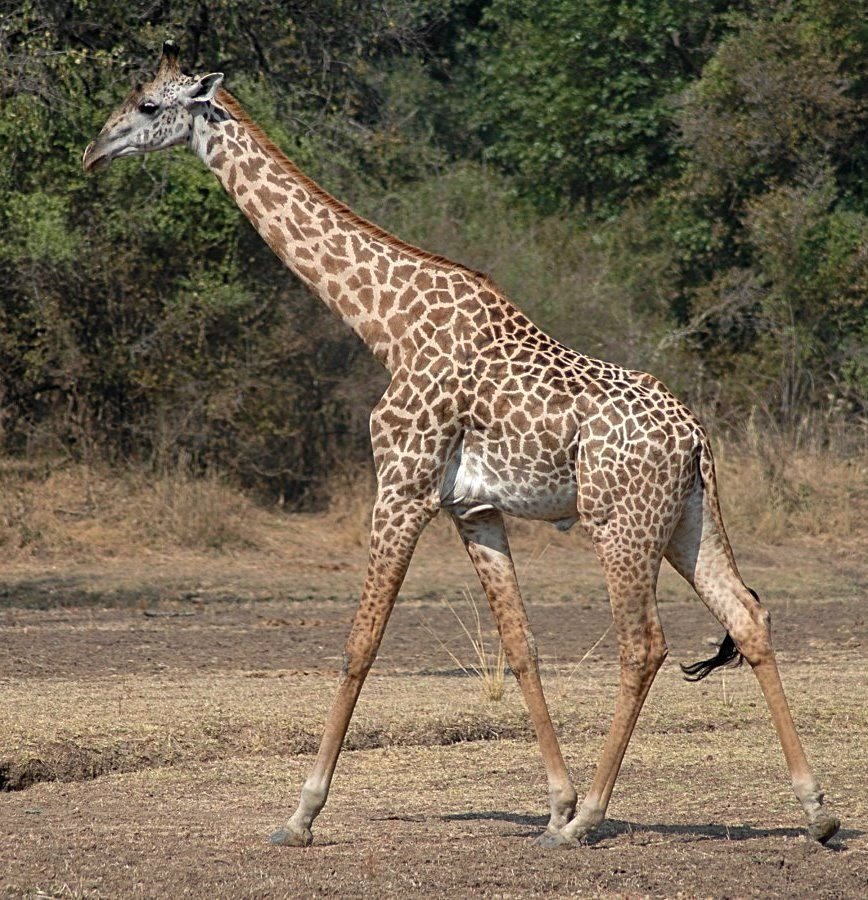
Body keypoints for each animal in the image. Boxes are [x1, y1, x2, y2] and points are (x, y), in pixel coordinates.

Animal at [83, 42, 839, 848]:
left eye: (149, 105)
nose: (96, 152)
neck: (385, 323)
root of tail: (696, 438)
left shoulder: (402, 484)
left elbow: (361, 643)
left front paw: (300, 815)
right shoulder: (472, 509)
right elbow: (521, 645)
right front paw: (555, 802)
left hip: (621, 525)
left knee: (644, 644)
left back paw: (593, 822)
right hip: (686, 521)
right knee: (747, 618)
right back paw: (817, 811)